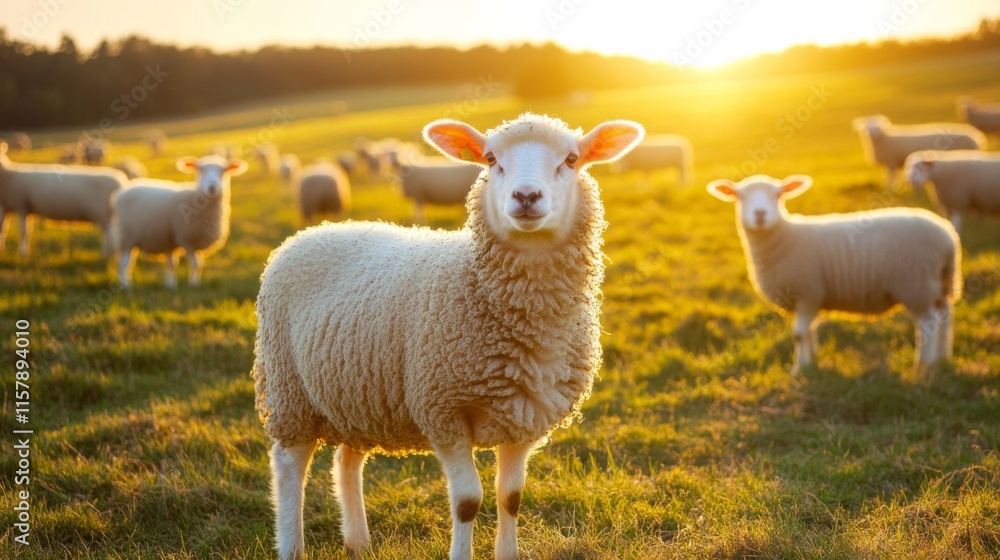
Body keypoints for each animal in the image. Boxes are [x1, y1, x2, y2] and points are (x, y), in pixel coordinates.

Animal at [114, 155, 248, 289]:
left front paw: (189, 283)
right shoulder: (187, 239)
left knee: (131, 261)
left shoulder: (192, 240)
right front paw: (193, 285)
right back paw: (125, 285)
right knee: (124, 262)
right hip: (126, 236)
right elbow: (194, 262)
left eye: (224, 171)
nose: (212, 187)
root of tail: (123, 192)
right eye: (200, 170)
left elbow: (194, 263)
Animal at [252, 113, 644, 560]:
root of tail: (309, 233)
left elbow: (511, 497)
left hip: (356, 397)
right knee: (288, 466)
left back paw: (358, 541)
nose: (526, 196)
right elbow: (467, 501)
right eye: (490, 159)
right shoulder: (443, 410)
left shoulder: (526, 416)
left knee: (347, 461)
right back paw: (292, 546)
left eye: (572, 159)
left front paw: (507, 553)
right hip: (289, 390)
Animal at [707, 174, 961, 375]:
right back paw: (942, 358)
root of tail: (947, 236)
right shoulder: (806, 298)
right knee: (944, 316)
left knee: (928, 323)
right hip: (939, 282)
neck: (786, 237)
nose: (760, 214)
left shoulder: (807, 292)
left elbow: (799, 334)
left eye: (778, 195)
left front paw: (798, 368)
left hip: (915, 283)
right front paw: (811, 360)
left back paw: (923, 364)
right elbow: (809, 331)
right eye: (740, 196)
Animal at [853, 114, 986, 188]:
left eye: (877, 127)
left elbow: (890, 177)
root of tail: (976, 137)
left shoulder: (891, 161)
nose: (872, 134)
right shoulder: (891, 162)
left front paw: (888, 188)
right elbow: (892, 177)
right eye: (866, 127)